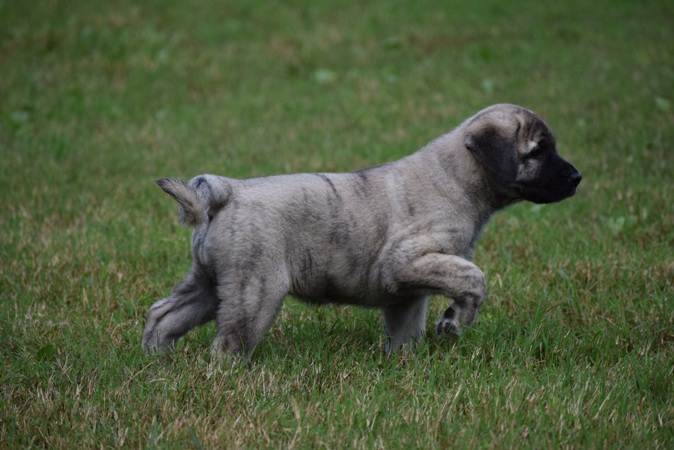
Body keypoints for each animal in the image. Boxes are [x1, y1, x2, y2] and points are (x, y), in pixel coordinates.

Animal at [141, 104, 581, 360]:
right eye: (539, 151)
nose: (577, 177)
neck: (456, 178)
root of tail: (226, 192)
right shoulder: (408, 260)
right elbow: (475, 279)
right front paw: (455, 320)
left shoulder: (408, 291)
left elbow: (406, 334)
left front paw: (404, 368)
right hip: (255, 292)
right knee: (227, 344)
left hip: (211, 284)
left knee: (163, 316)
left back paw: (155, 363)